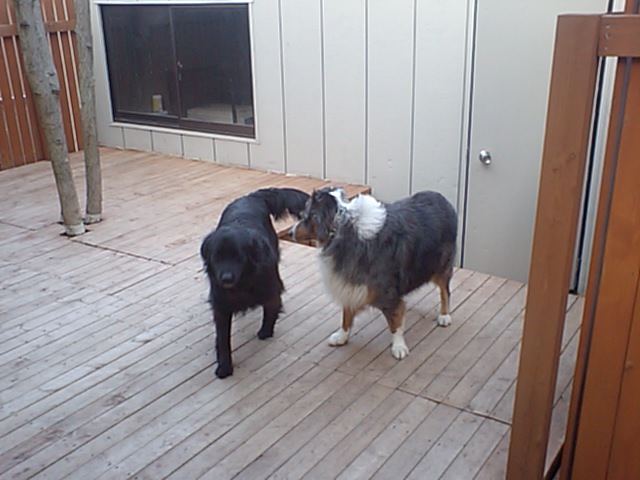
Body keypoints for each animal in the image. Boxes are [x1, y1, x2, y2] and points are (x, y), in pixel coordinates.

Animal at [200, 187, 310, 378]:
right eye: (217, 258)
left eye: (238, 257)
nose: (226, 278)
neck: (242, 282)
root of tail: (251, 196)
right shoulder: (221, 304)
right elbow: (222, 339)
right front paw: (225, 366)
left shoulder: (272, 288)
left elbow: (271, 309)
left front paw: (266, 331)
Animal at [289, 187, 457, 359]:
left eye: (306, 217)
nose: (289, 232)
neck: (343, 227)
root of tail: (440, 197)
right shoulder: (351, 283)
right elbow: (346, 315)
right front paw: (342, 336)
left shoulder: (386, 293)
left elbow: (394, 323)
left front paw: (399, 346)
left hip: (441, 266)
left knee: (445, 291)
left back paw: (444, 315)